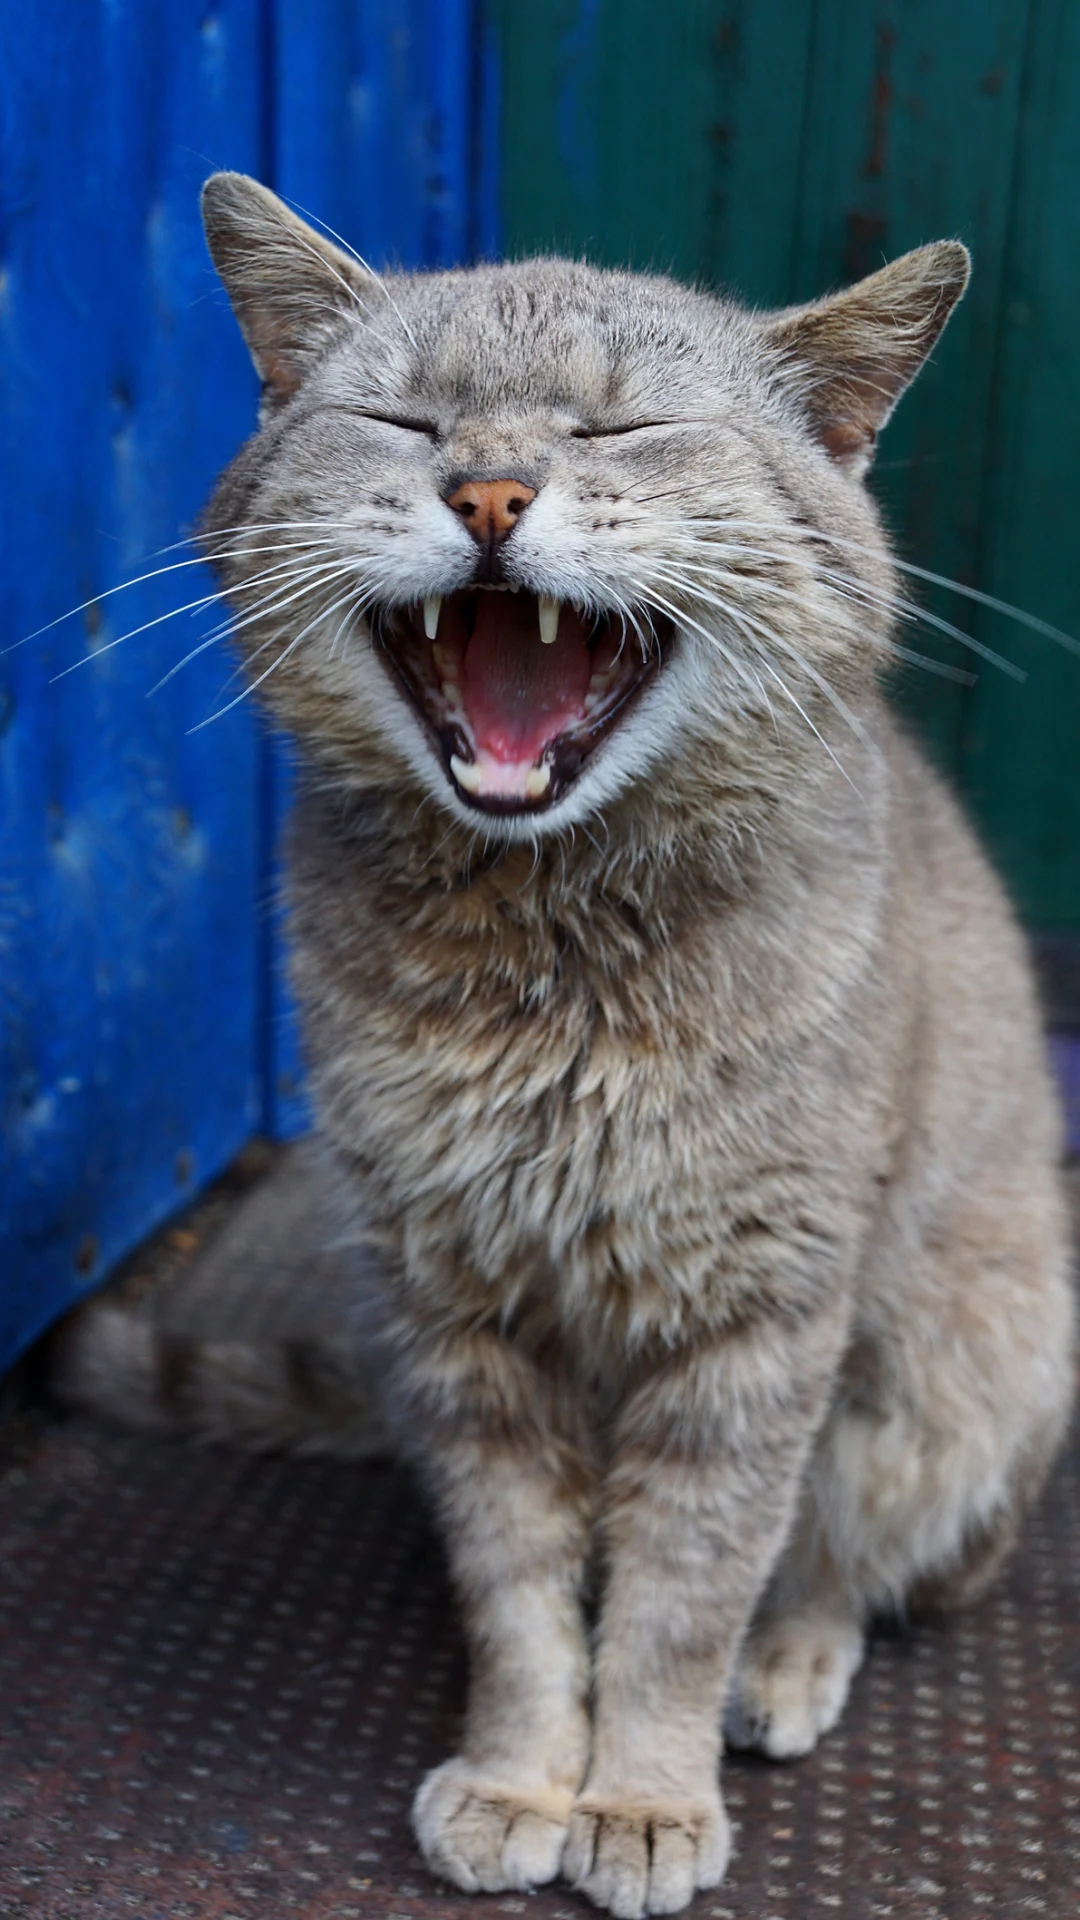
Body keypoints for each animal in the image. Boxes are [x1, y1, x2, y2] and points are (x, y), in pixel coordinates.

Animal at [61, 168, 1076, 1920]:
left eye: (626, 428)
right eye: (403, 420)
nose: (487, 491)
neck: (549, 956)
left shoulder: (758, 1316)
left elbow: (688, 1588)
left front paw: (645, 1794)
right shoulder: (451, 1313)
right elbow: (522, 1581)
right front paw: (530, 1771)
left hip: (962, 1359)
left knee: (854, 1562)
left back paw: (788, 1662)